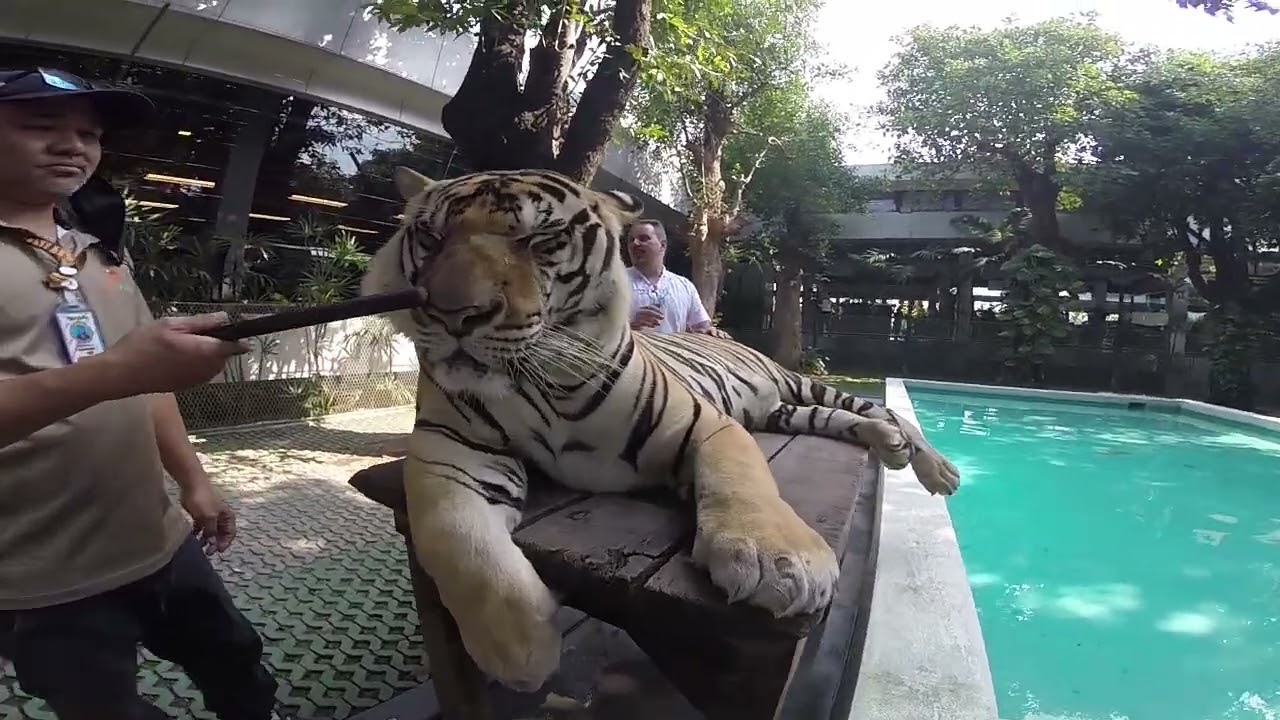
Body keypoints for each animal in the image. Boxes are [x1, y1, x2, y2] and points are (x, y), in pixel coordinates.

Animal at [360, 166, 961, 692]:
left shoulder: (709, 425)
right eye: (431, 237)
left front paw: (781, 563)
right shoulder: (451, 450)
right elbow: (456, 535)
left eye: (541, 239)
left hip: (798, 384)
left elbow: (743, 481)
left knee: (877, 409)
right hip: (783, 413)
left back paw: (935, 467)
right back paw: (891, 446)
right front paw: (519, 647)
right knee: (847, 420)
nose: (453, 315)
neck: (538, 382)